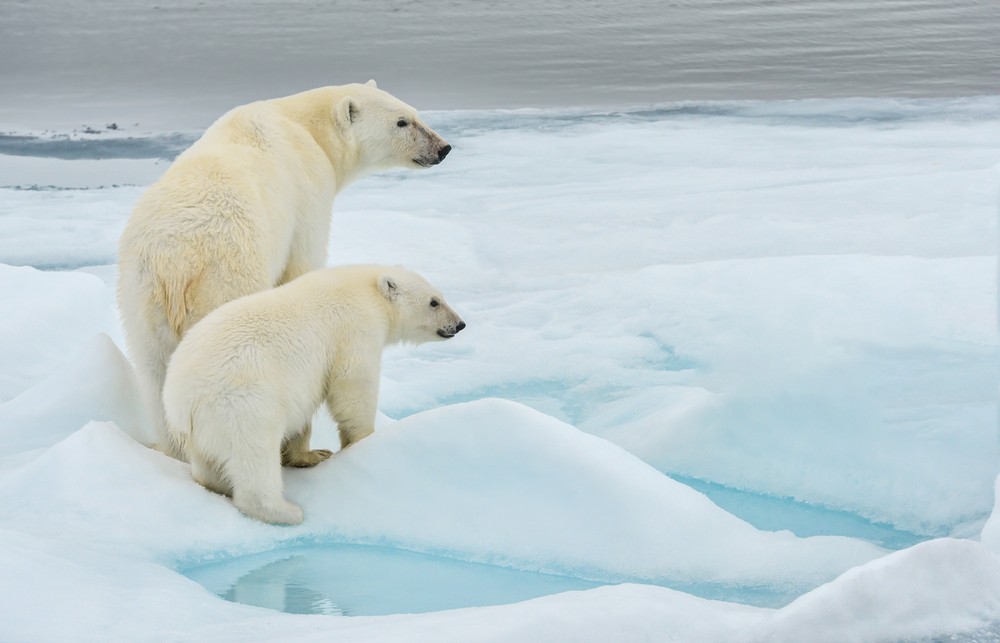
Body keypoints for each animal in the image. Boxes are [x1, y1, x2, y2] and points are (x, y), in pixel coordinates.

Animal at [117, 83, 450, 460]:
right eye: (401, 122)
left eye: (415, 113)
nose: (443, 148)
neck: (302, 123)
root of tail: (175, 265)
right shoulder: (308, 191)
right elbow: (304, 265)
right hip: (226, 279)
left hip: (140, 301)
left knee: (155, 375)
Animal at [161, 264, 464, 524]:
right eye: (434, 302)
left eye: (440, 296)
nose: (459, 324)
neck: (366, 289)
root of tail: (182, 399)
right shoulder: (355, 329)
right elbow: (353, 386)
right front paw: (362, 441)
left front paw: (314, 454)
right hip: (241, 402)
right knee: (255, 454)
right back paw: (284, 511)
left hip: (201, 429)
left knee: (208, 462)